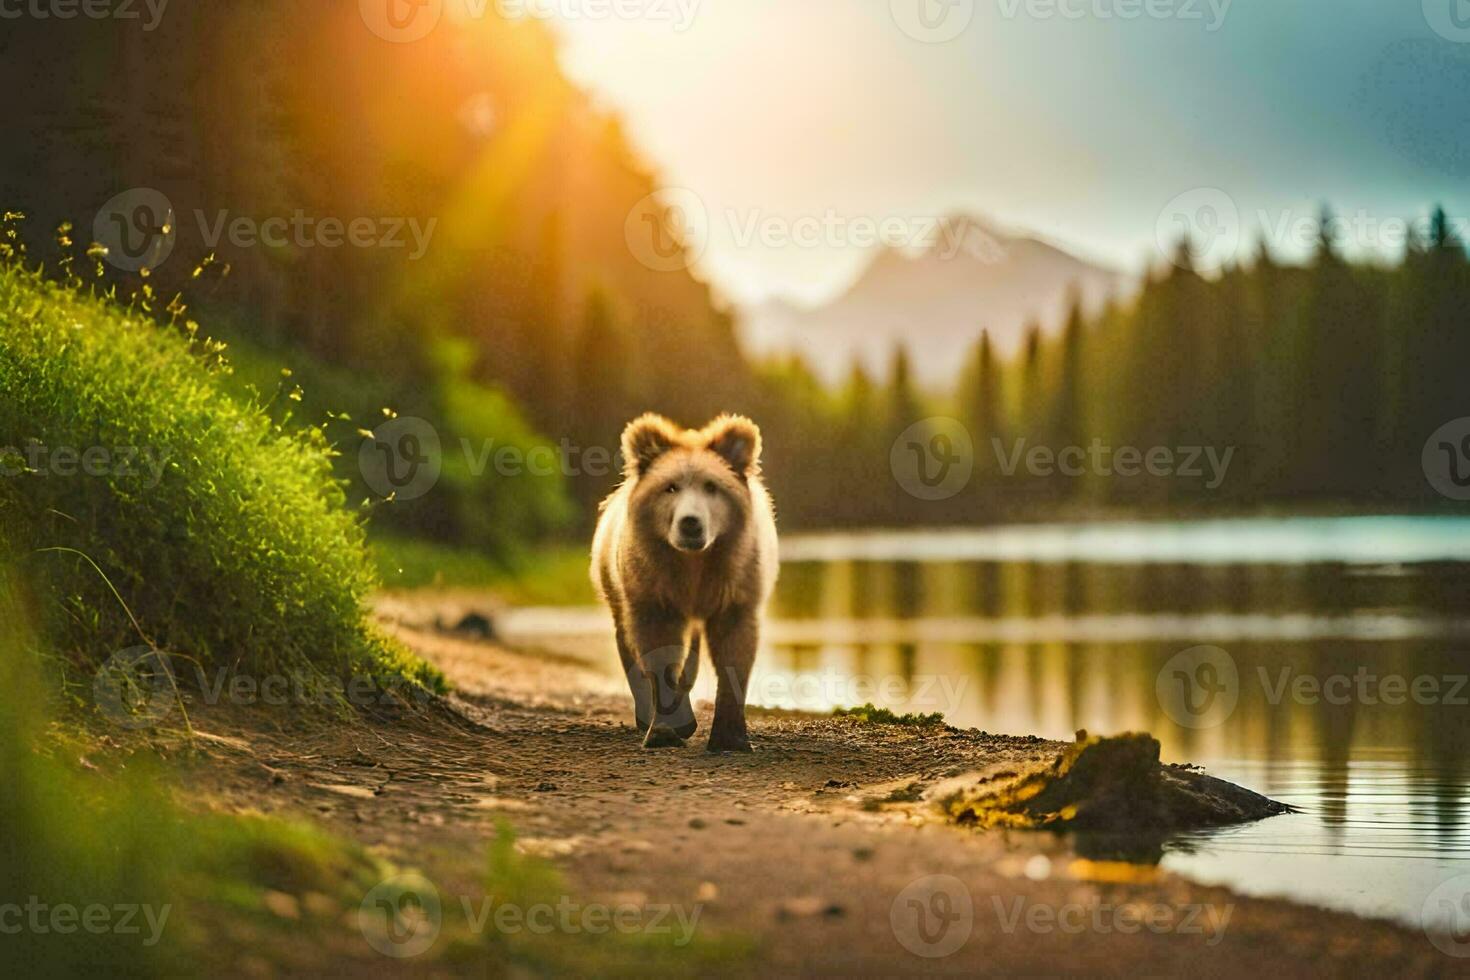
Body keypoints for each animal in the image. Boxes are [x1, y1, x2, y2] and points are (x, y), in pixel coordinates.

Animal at [590, 411, 782, 752]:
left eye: (712, 486)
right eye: (670, 488)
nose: (690, 523)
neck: (694, 563)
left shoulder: (735, 586)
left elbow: (734, 651)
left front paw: (730, 737)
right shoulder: (655, 588)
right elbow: (658, 648)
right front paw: (664, 730)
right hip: (616, 583)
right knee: (626, 639)